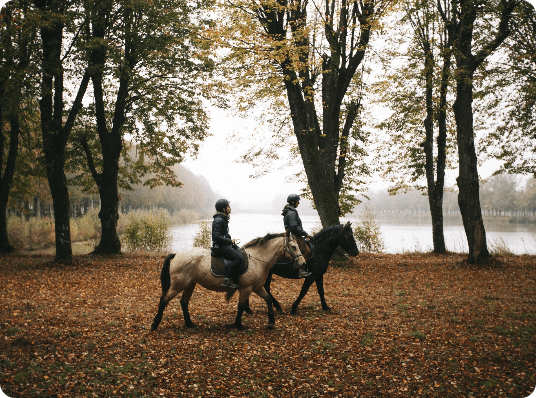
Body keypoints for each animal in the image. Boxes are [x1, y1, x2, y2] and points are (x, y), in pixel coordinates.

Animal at [151, 233, 306, 330]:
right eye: (293, 247)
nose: (303, 264)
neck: (257, 260)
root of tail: (177, 254)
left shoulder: (257, 287)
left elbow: (268, 299)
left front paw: (271, 323)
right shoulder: (246, 288)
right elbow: (241, 305)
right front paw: (238, 325)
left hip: (190, 284)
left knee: (184, 302)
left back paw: (190, 324)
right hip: (178, 285)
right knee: (164, 299)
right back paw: (155, 324)